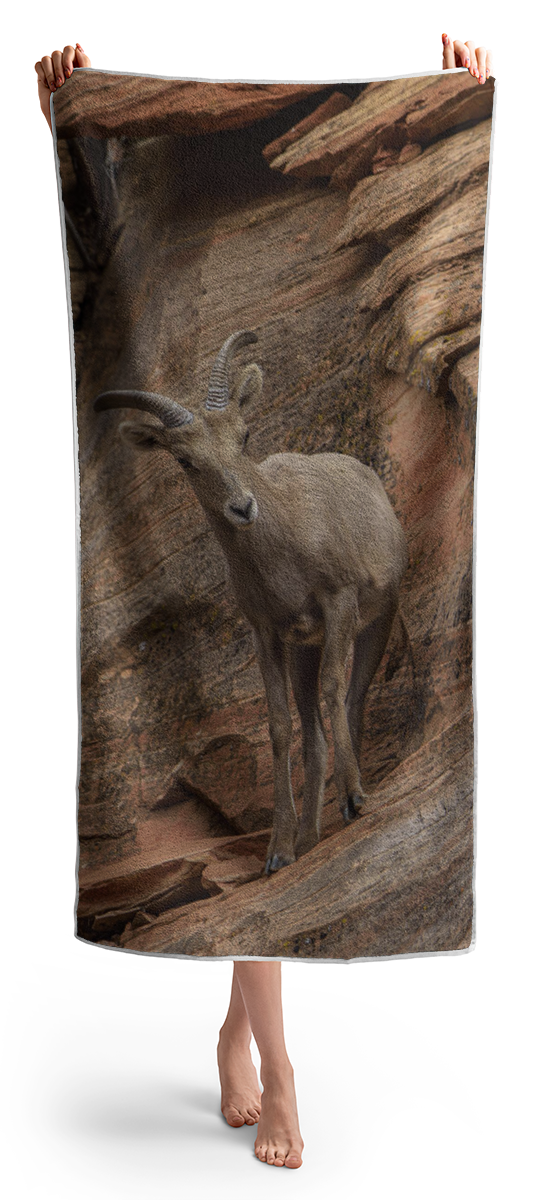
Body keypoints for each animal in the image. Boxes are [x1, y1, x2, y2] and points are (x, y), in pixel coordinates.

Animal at [94, 330, 409, 875]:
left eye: (243, 436)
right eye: (185, 460)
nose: (242, 507)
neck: (285, 556)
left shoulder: (339, 603)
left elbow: (335, 689)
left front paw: (354, 799)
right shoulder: (269, 634)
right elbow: (280, 726)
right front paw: (278, 851)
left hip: (377, 617)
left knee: (352, 696)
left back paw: (349, 799)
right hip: (305, 648)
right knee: (312, 726)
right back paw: (309, 837)